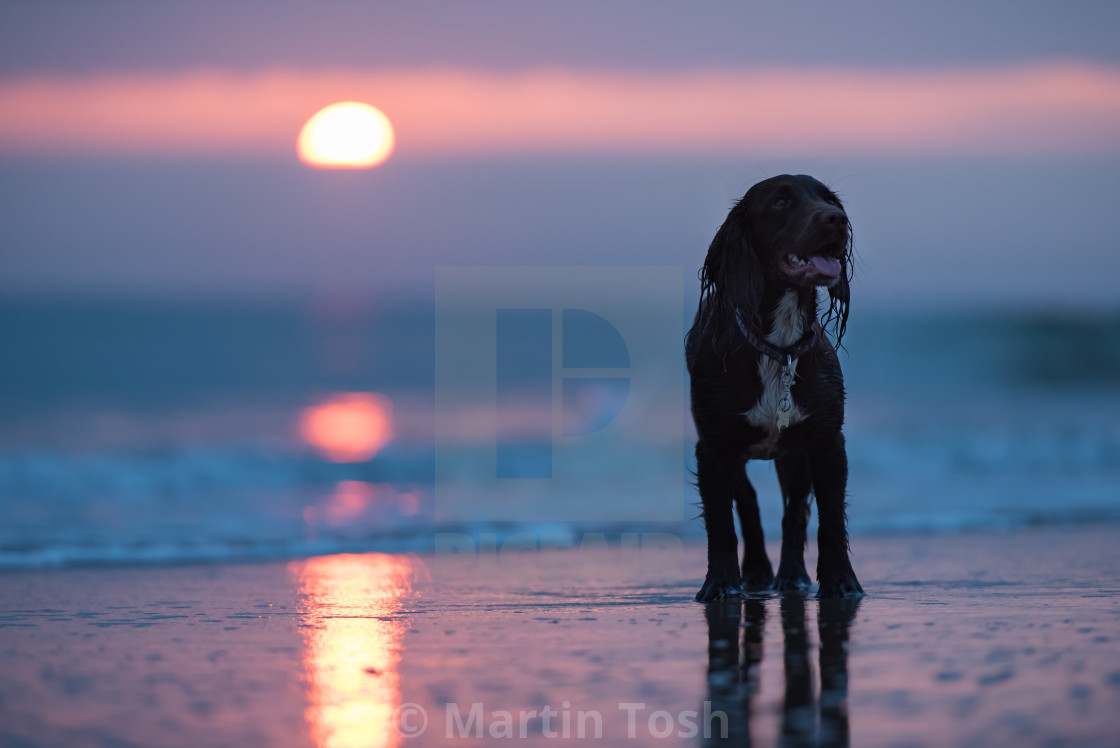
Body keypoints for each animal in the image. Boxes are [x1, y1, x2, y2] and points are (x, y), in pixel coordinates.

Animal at [680, 175, 864, 600]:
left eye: (829, 200)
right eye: (780, 202)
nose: (838, 219)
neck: (778, 346)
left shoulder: (827, 442)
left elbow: (830, 518)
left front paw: (841, 582)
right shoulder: (713, 448)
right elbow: (721, 523)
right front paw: (720, 584)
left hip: (793, 456)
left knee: (794, 509)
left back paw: (791, 575)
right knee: (747, 501)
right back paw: (758, 572)